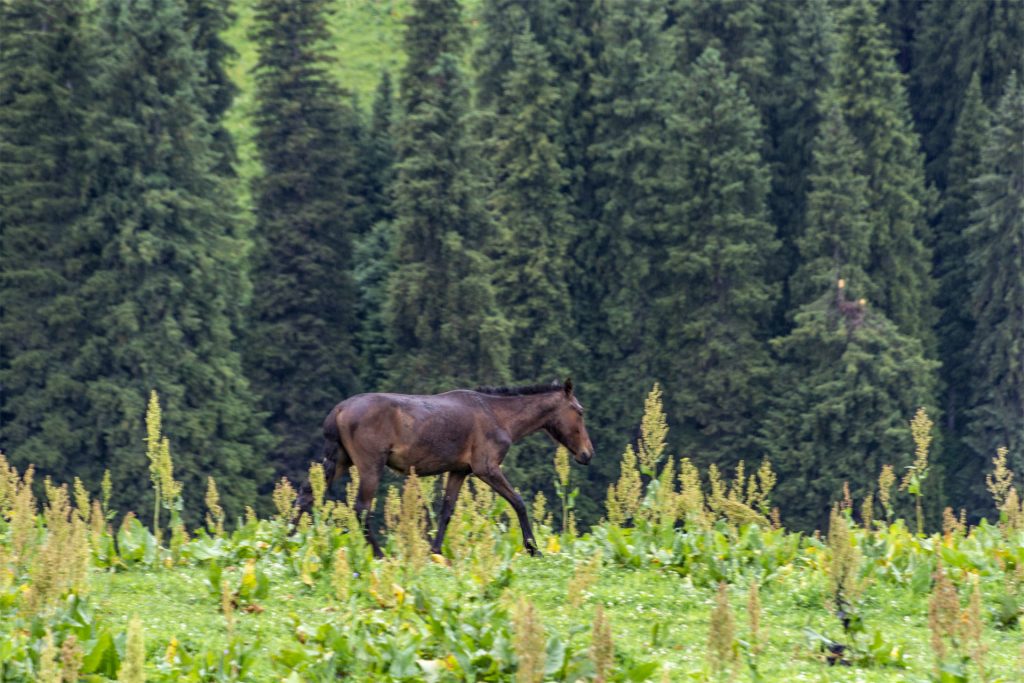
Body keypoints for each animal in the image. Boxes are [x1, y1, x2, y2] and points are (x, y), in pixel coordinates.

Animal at [296, 376, 598, 557]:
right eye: (580, 411)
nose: (587, 454)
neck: (499, 417)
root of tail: (338, 410)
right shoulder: (486, 467)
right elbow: (519, 502)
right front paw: (533, 548)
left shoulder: (459, 470)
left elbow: (446, 512)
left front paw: (435, 552)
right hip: (370, 466)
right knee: (361, 509)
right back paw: (380, 555)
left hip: (339, 461)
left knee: (306, 495)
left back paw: (287, 542)